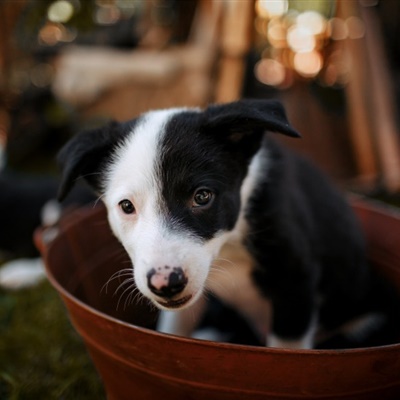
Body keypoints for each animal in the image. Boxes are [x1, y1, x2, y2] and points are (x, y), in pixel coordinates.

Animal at [57, 100, 398, 350]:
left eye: (202, 196)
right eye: (126, 207)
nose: (166, 283)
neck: (229, 245)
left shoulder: (296, 282)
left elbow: (287, 354)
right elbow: (173, 331)